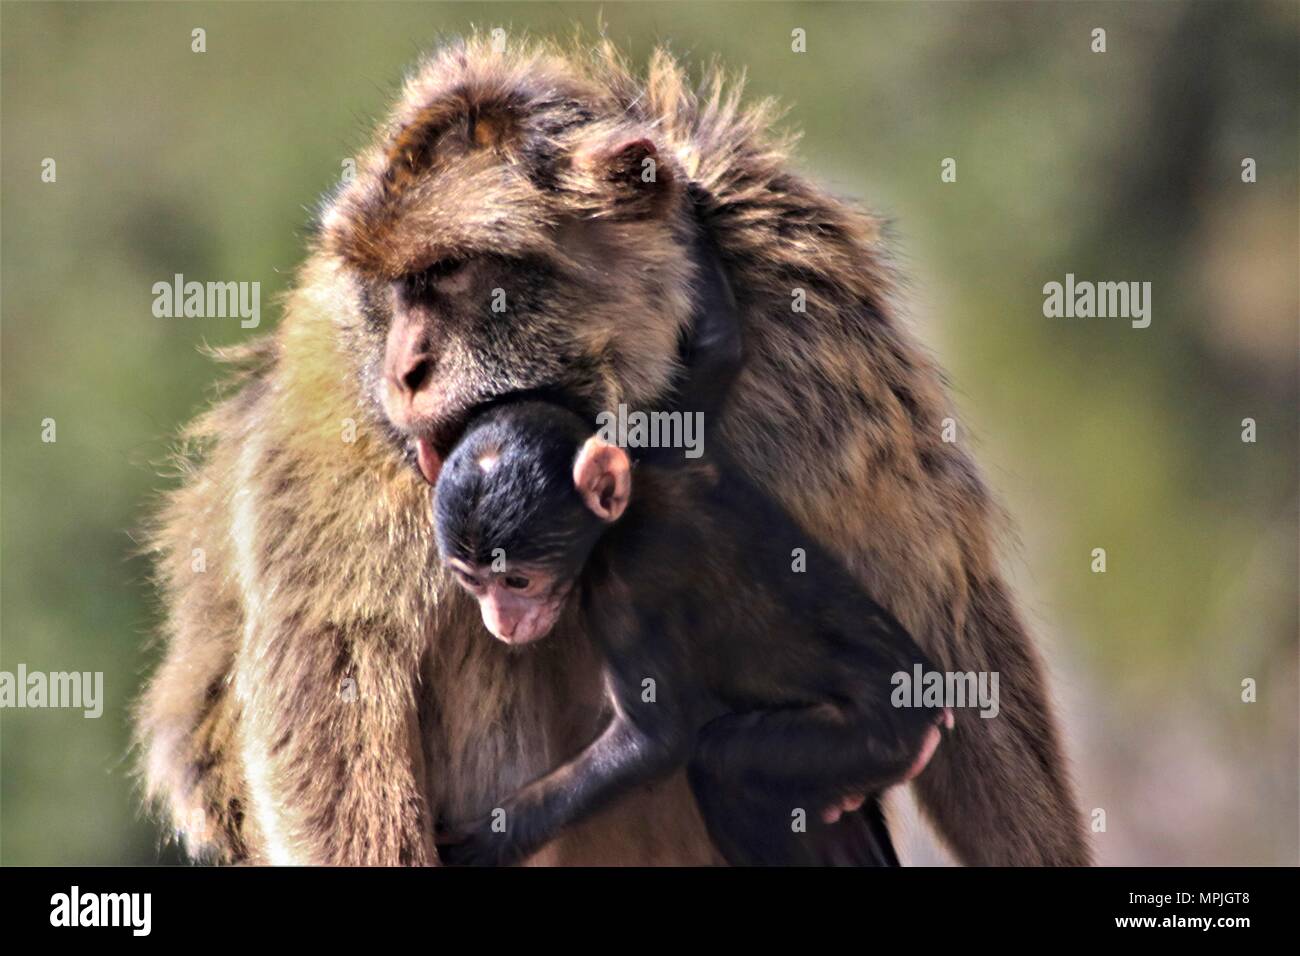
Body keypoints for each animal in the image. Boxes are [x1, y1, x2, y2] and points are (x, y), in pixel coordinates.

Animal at [430, 398, 952, 867]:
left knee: (721, 764)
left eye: (517, 581)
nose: (501, 620)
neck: (623, 517)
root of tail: (931, 712)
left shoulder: (628, 583)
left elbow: (652, 740)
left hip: (876, 739)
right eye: (473, 582)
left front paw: (492, 839)